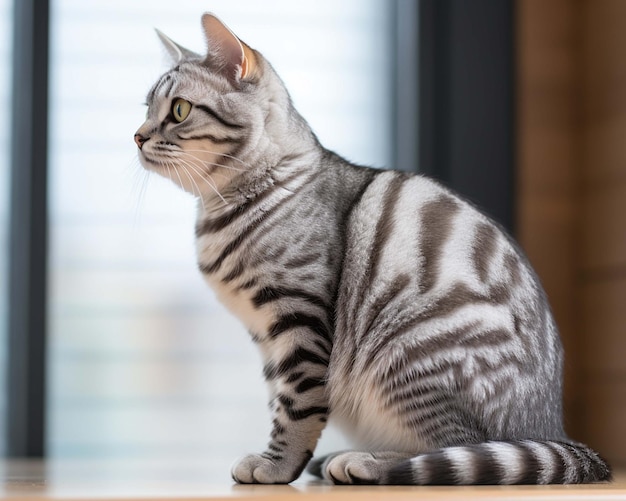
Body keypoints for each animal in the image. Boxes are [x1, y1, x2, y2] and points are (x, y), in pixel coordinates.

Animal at [133, 12, 608, 484]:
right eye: (146, 109)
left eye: (179, 110)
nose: (136, 136)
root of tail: (552, 430)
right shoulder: (266, 336)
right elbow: (278, 399)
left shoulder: (298, 320)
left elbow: (297, 406)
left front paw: (276, 466)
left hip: (408, 351)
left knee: (452, 451)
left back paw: (365, 462)